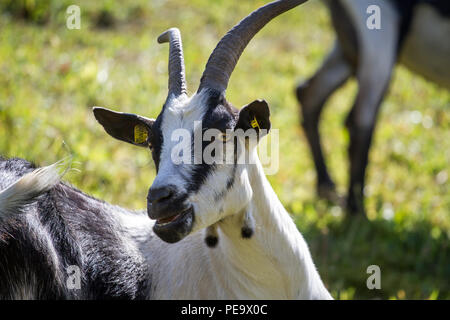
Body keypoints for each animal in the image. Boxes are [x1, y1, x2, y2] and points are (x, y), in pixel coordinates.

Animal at [298, 0, 448, 216]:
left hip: (349, 47)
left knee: (309, 94)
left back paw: (327, 186)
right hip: (379, 36)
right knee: (358, 121)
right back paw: (357, 212)